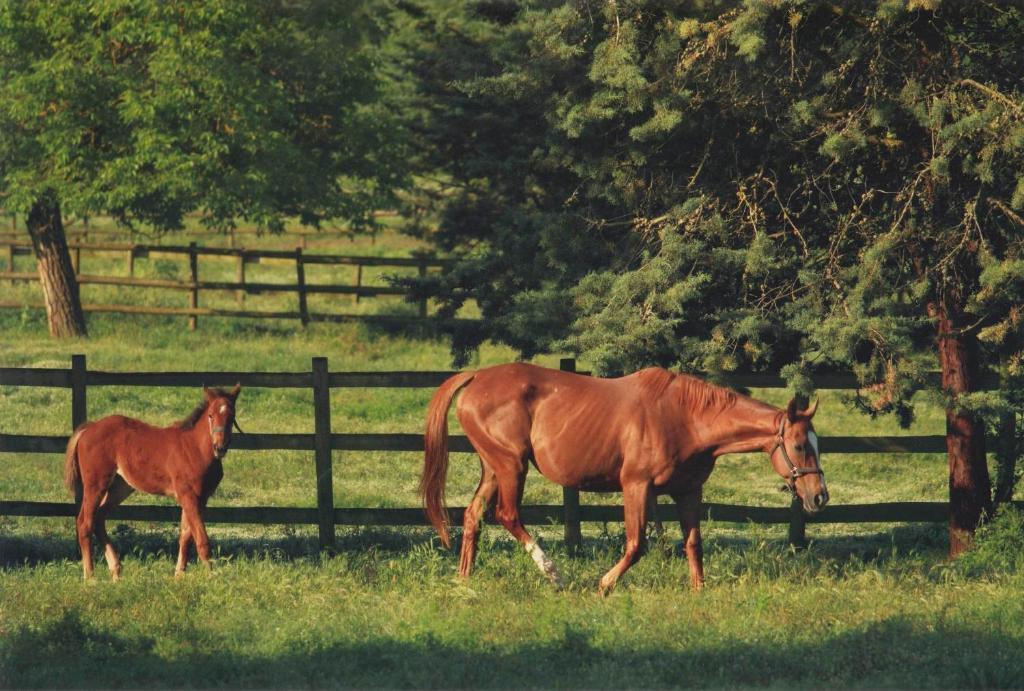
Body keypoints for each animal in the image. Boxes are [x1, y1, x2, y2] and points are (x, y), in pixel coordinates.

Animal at [64, 386, 241, 581]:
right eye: (210, 415)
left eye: (232, 416)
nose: (220, 447)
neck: (196, 448)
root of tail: (89, 428)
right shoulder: (187, 495)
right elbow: (202, 540)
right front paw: (211, 577)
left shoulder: (201, 498)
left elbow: (186, 535)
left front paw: (179, 575)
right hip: (96, 484)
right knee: (84, 523)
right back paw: (90, 577)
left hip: (120, 487)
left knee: (99, 518)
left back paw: (116, 571)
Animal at [419, 362, 827, 593]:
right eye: (799, 445)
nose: (820, 496)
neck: (685, 419)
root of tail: (476, 377)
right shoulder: (636, 486)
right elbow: (636, 544)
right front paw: (604, 585)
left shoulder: (688, 492)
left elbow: (693, 543)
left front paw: (699, 590)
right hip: (511, 465)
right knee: (507, 515)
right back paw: (554, 576)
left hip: (493, 466)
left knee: (473, 515)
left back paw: (464, 579)